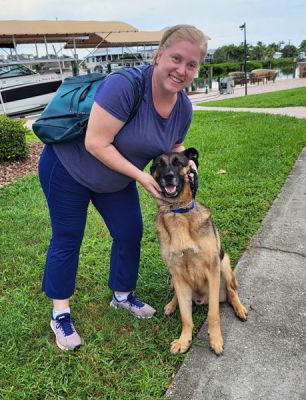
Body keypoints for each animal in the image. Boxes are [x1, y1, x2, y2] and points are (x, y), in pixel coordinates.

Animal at [151, 148, 249, 354]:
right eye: (159, 164)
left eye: (178, 163)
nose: (168, 176)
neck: (178, 211)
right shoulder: (178, 274)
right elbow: (186, 317)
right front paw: (184, 340)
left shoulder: (212, 269)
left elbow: (213, 314)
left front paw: (216, 339)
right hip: (173, 279)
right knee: (179, 297)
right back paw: (172, 305)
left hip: (224, 265)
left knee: (231, 291)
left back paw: (240, 308)